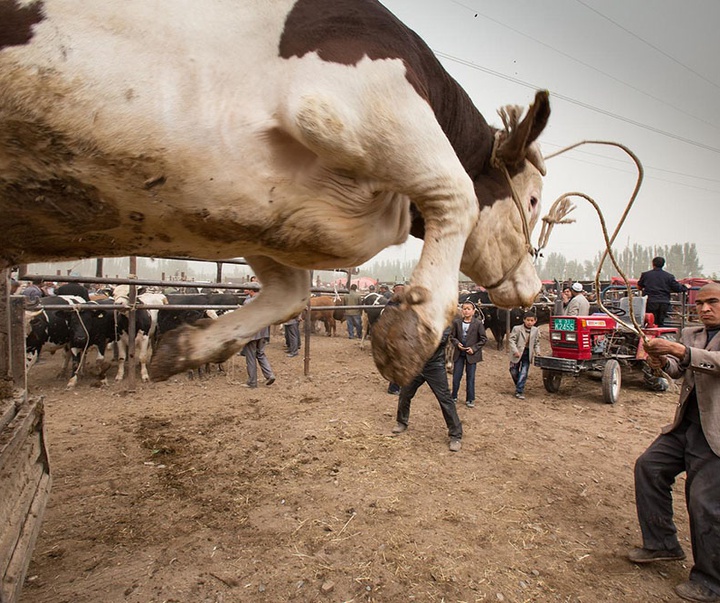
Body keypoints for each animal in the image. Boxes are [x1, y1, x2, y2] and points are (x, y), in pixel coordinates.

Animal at [1, 1, 552, 386]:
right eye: (531, 200)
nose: (533, 288)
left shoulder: (258, 211)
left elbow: (290, 294)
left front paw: (187, 348)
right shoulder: (345, 103)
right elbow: (457, 190)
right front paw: (411, 331)